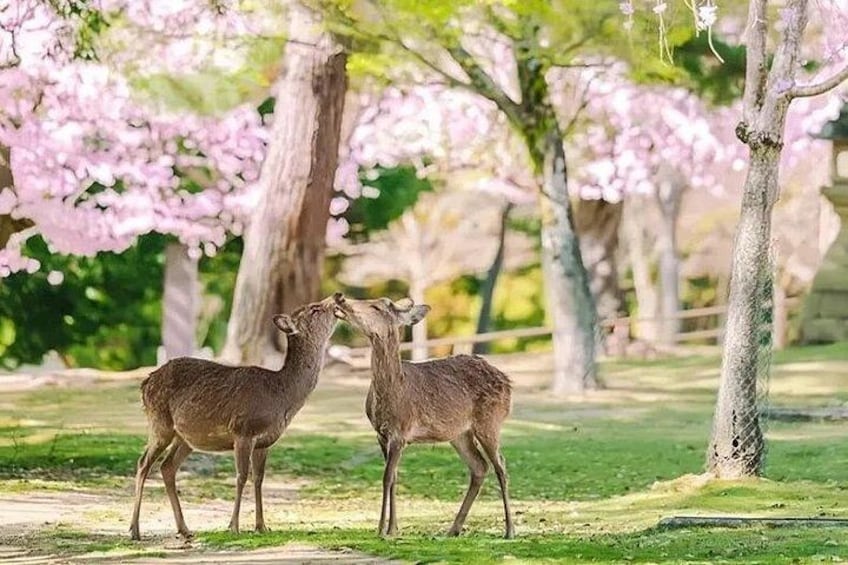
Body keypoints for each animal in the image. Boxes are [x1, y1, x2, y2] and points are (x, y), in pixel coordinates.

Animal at [129, 294, 340, 541]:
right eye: (315, 309)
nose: (338, 296)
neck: (282, 395)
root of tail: (145, 384)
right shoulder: (243, 430)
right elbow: (241, 476)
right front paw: (234, 526)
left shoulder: (264, 442)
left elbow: (259, 478)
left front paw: (261, 526)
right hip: (160, 423)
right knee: (143, 463)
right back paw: (135, 530)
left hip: (185, 437)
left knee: (167, 466)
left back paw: (184, 529)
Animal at [332, 293, 515, 539]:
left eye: (376, 307)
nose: (340, 298)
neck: (392, 395)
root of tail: (508, 383)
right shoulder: (380, 434)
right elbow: (394, 477)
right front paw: (392, 528)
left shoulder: (401, 432)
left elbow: (387, 477)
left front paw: (383, 530)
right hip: (460, 434)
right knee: (479, 466)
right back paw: (453, 529)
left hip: (490, 421)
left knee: (500, 465)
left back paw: (509, 530)